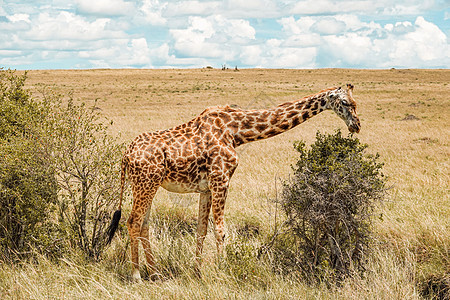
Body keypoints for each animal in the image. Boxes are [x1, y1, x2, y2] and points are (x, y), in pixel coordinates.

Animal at [104, 84, 358, 282]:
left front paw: (198, 273)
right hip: (145, 183)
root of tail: (125, 155)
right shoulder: (221, 178)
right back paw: (137, 275)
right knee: (134, 221)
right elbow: (220, 231)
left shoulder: (206, 187)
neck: (237, 131)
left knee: (144, 224)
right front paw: (223, 271)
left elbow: (201, 230)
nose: (356, 125)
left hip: (149, 185)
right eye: (346, 103)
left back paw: (155, 273)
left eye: (355, 102)